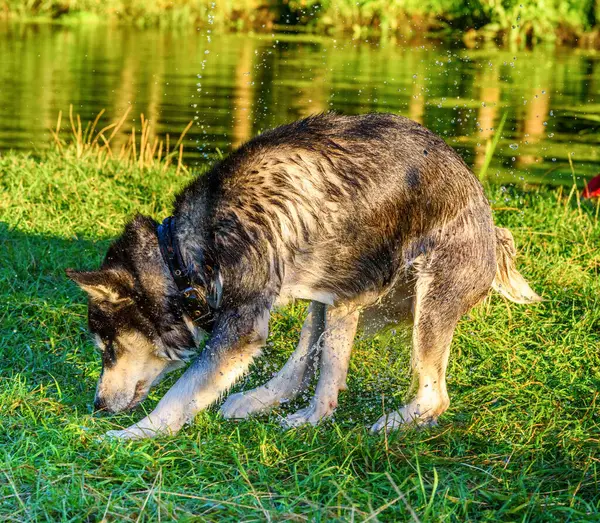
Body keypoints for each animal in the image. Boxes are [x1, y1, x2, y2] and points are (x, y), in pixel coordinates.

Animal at [65, 112, 540, 440]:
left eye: (108, 347)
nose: (98, 407)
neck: (181, 254)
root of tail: (492, 227)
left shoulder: (241, 327)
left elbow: (180, 392)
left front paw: (134, 434)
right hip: (339, 291)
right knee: (315, 371)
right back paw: (278, 407)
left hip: (430, 302)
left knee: (434, 395)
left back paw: (389, 423)